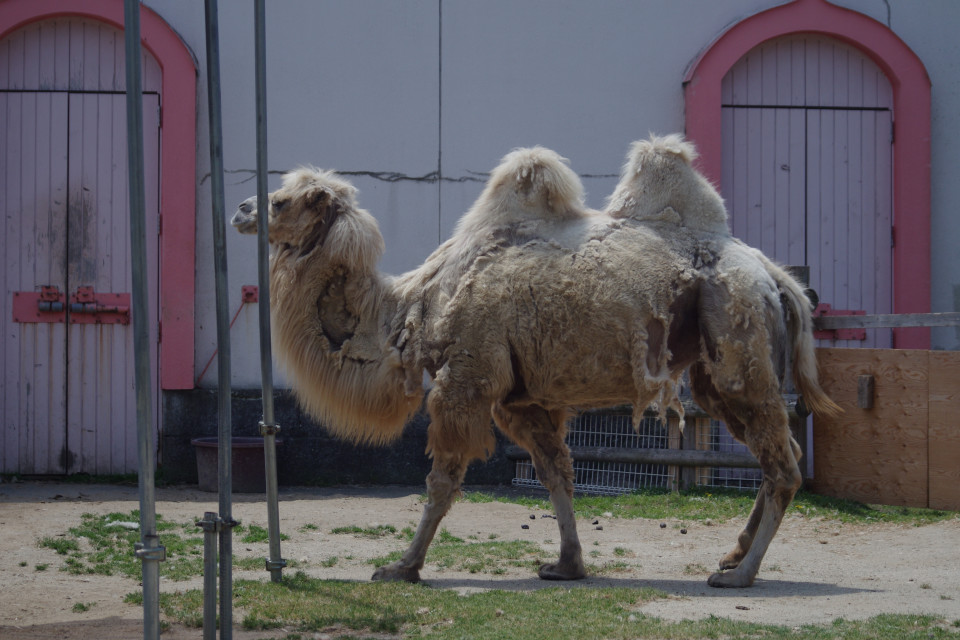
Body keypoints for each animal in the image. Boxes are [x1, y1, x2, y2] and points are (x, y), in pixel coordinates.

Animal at [231, 136, 840, 592]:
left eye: (281, 201)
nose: (240, 209)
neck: (409, 308)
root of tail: (774, 275)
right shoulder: (519, 397)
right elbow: (556, 473)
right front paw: (567, 565)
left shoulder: (468, 376)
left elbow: (442, 480)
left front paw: (402, 567)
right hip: (717, 370)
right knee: (775, 452)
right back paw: (732, 556)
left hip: (740, 339)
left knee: (783, 463)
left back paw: (741, 575)